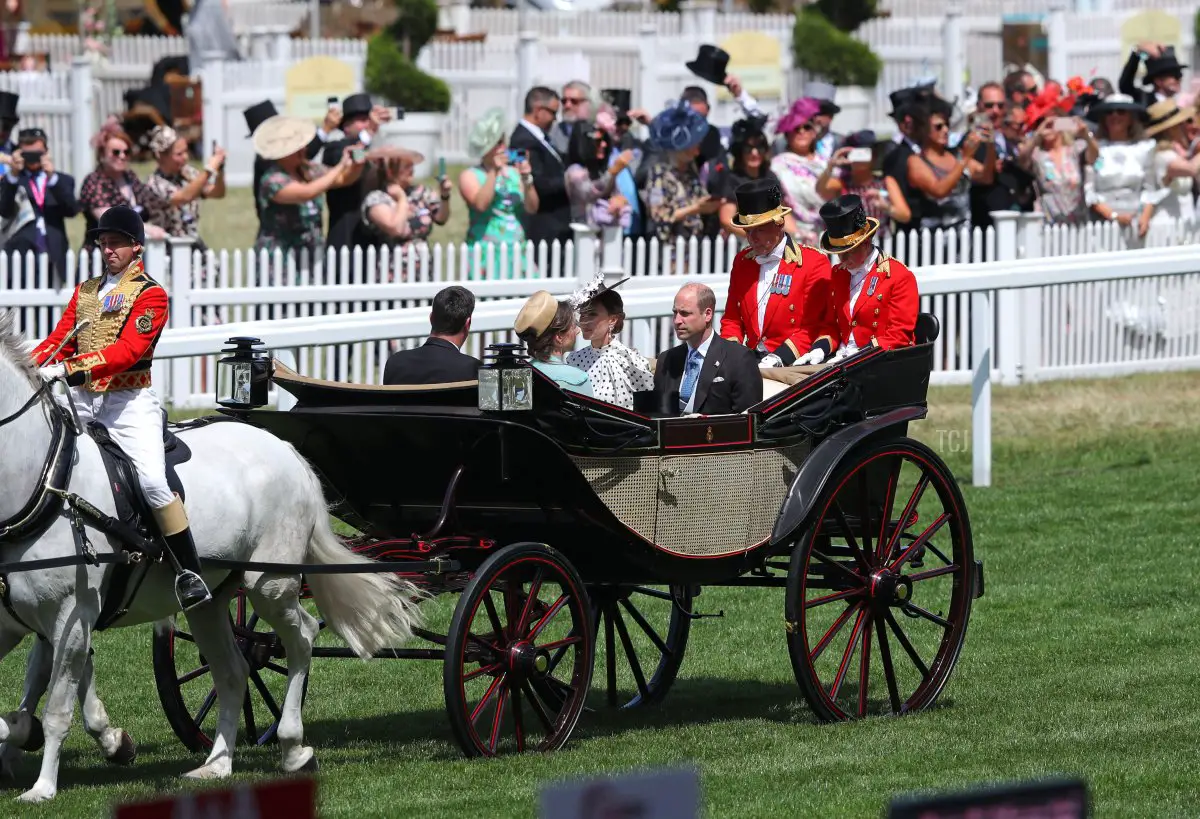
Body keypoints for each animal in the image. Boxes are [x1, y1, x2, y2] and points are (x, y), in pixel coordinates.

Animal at [0, 309, 427, 797]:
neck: (45, 482)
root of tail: (284, 448)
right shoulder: (30, 622)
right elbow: (45, 690)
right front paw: (38, 738)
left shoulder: (71, 615)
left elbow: (56, 705)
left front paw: (42, 785)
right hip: (208, 603)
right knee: (233, 669)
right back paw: (217, 764)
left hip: (270, 584)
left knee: (300, 637)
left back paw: (292, 746)